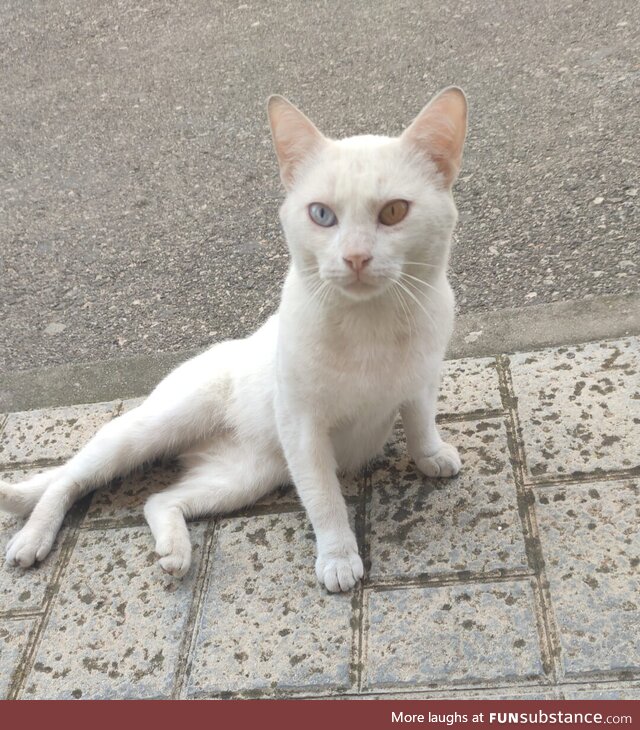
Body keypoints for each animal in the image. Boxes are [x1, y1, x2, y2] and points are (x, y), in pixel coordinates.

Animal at [2, 88, 468, 592]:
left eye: (394, 211)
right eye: (322, 215)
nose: (356, 257)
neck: (371, 324)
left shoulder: (421, 381)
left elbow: (421, 423)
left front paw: (431, 456)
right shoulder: (302, 426)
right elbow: (324, 498)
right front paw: (339, 557)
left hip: (246, 477)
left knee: (159, 500)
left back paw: (174, 552)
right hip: (149, 429)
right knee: (67, 478)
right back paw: (32, 536)